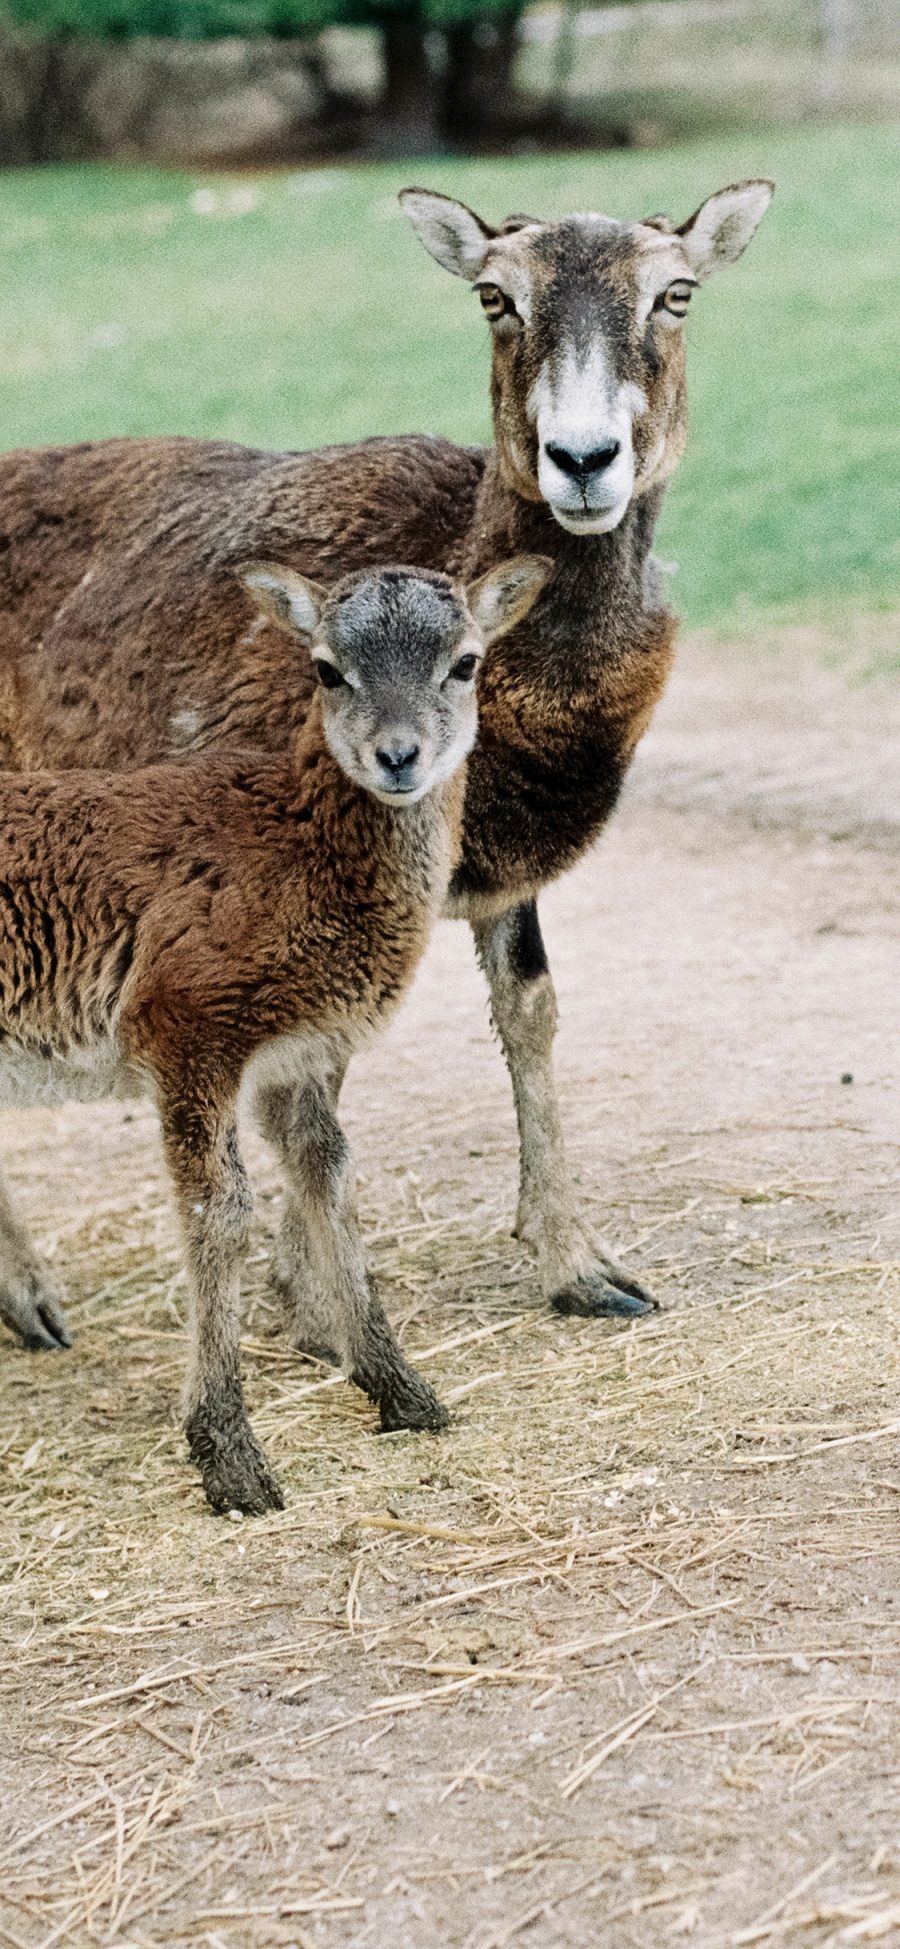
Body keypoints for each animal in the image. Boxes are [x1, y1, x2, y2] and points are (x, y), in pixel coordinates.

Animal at [0, 557, 549, 1512]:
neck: (298, 848)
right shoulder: (188, 1031)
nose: (397, 755)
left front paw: (404, 1392)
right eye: (327, 668)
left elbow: (328, 1175)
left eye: (466, 661)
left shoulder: (295, 1057)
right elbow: (218, 1212)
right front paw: (230, 1457)